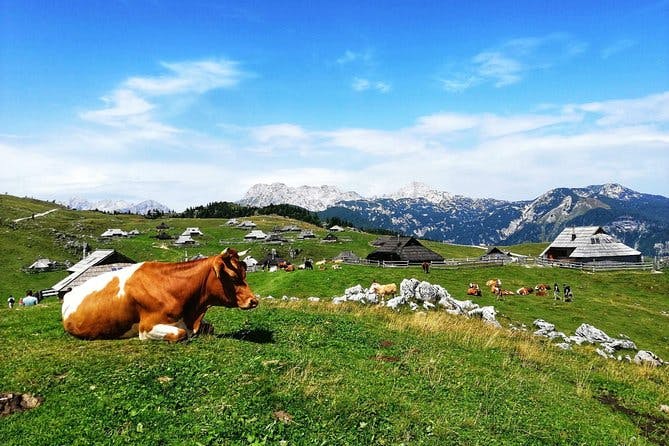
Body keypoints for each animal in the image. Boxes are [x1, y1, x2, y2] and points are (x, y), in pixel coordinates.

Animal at [61, 247, 258, 342]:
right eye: (232, 277)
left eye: (244, 273)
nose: (254, 300)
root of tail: (69, 294)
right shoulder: (147, 327)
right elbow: (180, 334)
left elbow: (210, 328)